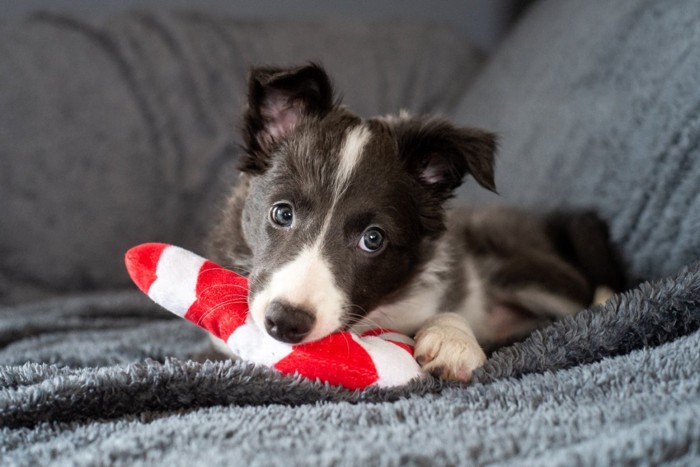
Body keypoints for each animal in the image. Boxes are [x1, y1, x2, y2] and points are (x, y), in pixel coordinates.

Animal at [204, 63, 624, 380]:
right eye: (282, 213)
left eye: (373, 239)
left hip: (521, 268)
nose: (285, 322)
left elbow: (447, 310)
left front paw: (453, 343)